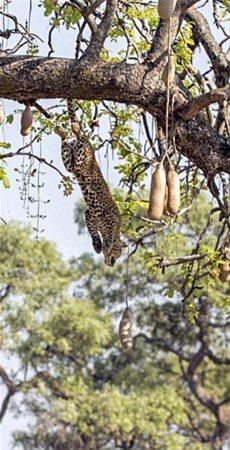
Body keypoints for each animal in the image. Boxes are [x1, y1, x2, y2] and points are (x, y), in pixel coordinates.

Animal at [55, 118, 122, 266]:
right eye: (119, 254)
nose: (112, 264)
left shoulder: (90, 215)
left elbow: (92, 231)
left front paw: (98, 245)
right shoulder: (110, 219)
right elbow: (109, 235)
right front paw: (106, 246)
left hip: (71, 162)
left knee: (67, 140)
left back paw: (61, 129)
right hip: (82, 158)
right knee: (82, 138)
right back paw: (76, 128)